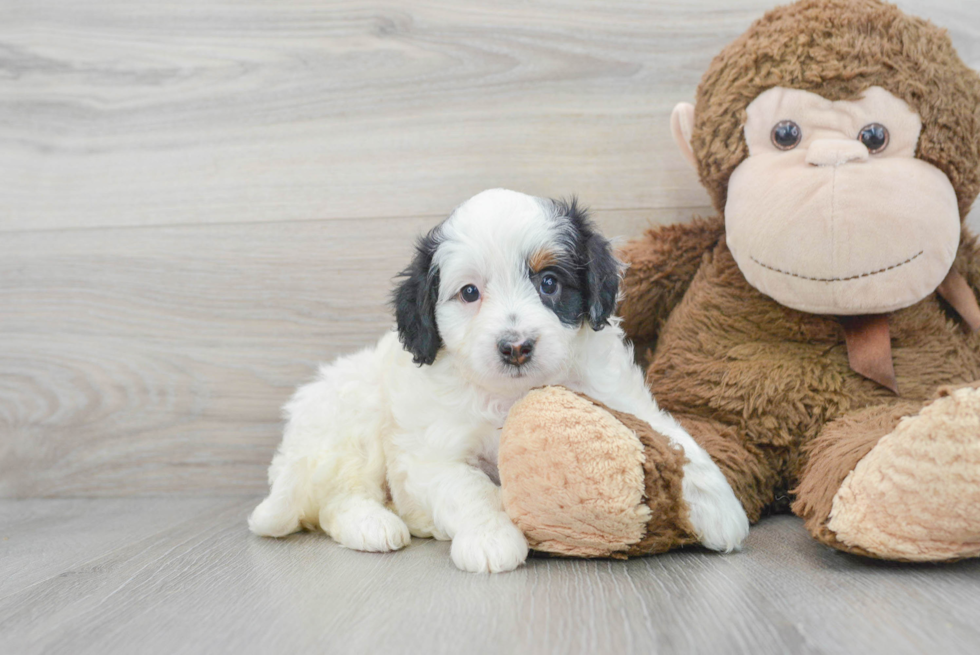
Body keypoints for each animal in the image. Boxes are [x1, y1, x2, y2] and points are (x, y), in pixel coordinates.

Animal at [249, 187, 748, 572]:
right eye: (469, 293)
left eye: (549, 283)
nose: (516, 346)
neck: (511, 394)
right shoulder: (431, 454)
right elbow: (471, 490)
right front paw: (493, 540)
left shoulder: (616, 396)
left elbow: (674, 439)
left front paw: (722, 510)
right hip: (352, 419)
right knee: (339, 499)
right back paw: (375, 526)